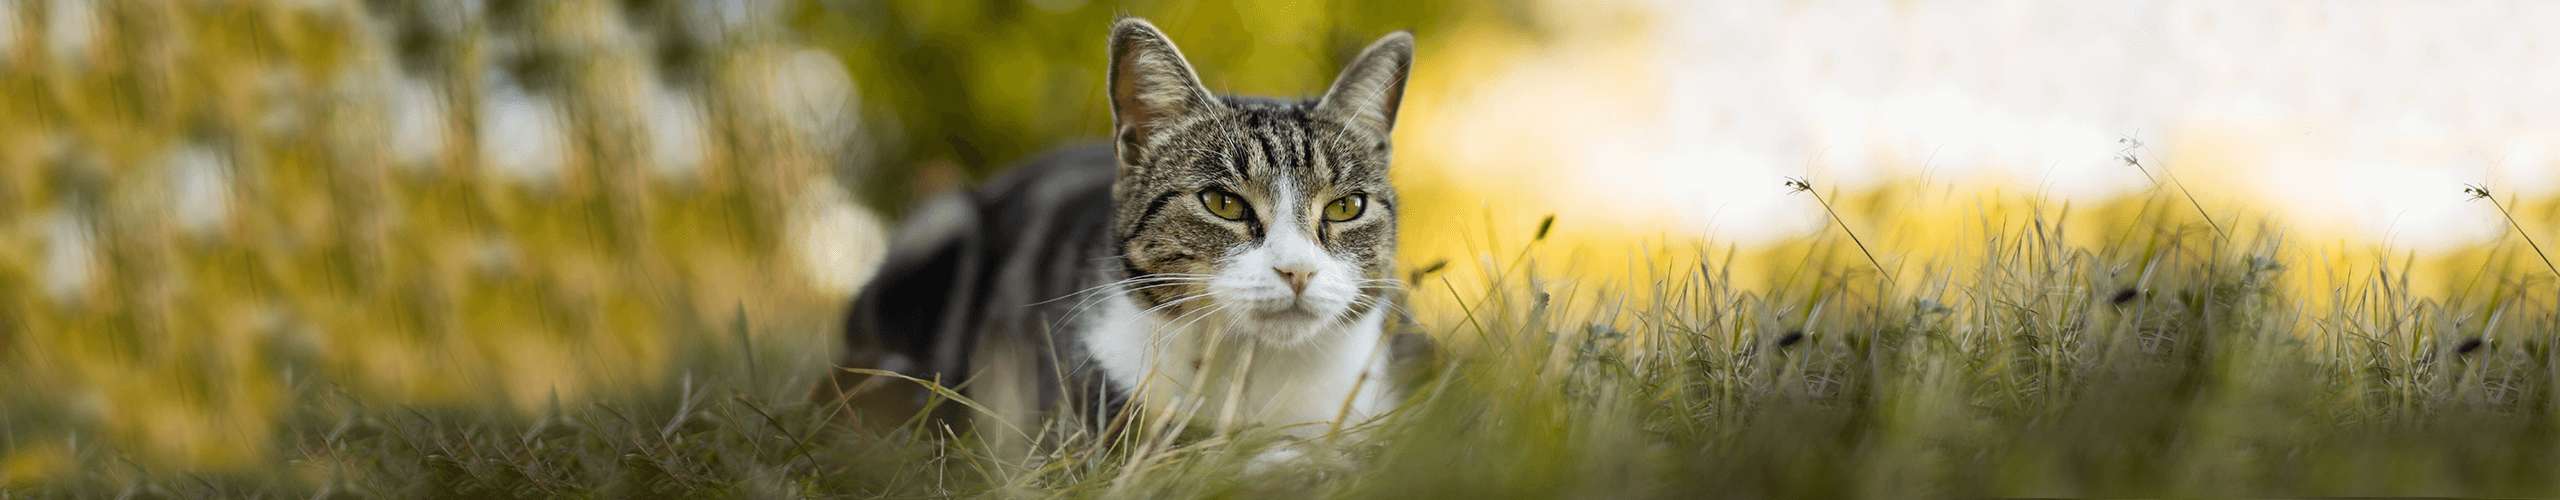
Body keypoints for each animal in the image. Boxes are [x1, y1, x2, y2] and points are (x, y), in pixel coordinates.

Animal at [834, 16, 1443, 446]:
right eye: (1223, 203)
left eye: (1345, 208)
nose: (1297, 271)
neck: (1257, 371)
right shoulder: (1084, 417)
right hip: (943, 226)